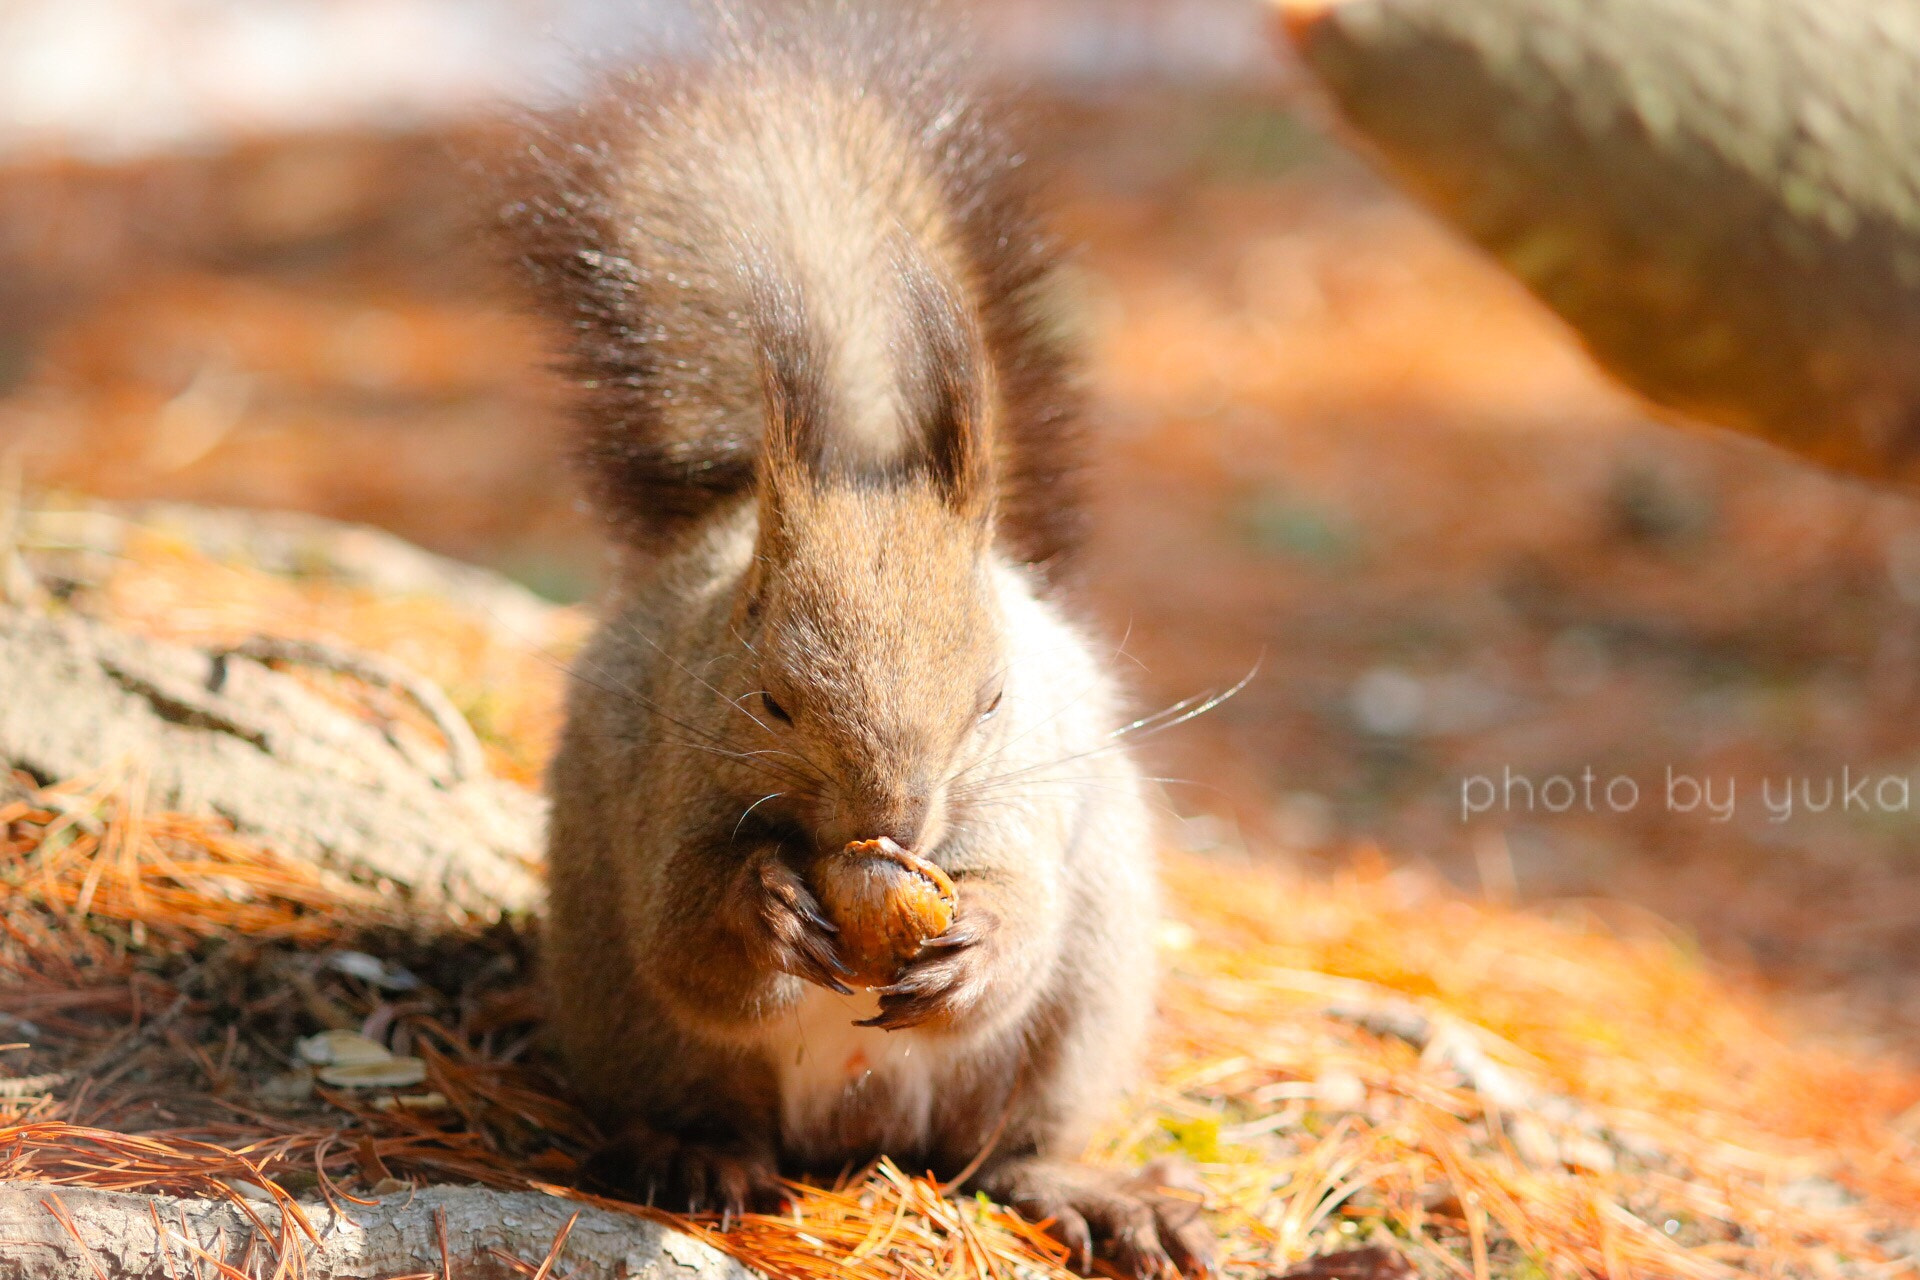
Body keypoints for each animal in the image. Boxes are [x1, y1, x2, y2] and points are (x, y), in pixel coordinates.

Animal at [499, 5, 1213, 1274]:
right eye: (773, 699)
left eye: (992, 699)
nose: (898, 819)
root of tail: (852, 1135)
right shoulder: (665, 776)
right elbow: (685, 935)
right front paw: (761, 908)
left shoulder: (1029, 786)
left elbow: (1022, 912)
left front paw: (983, 937)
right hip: (626, 1012)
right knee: (687, 1069)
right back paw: (693, 1153)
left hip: (1084, 1002)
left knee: (1007, 1143)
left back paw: (1091, 1187)